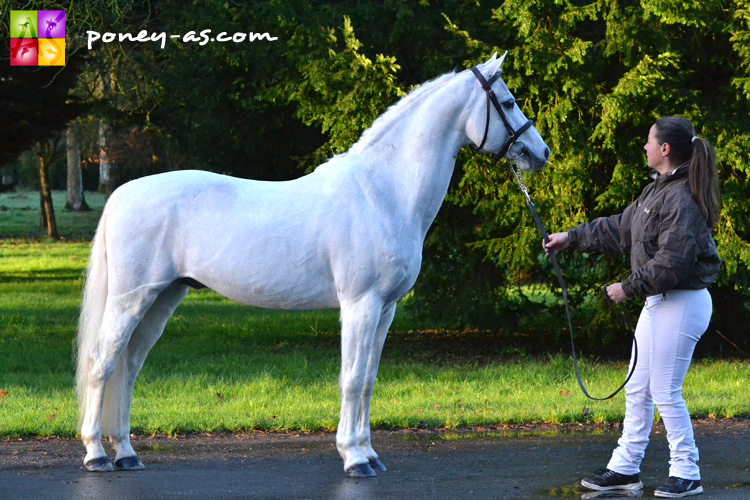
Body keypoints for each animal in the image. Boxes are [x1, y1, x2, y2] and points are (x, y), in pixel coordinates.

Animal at [76, 52, 548, 478]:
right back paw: (96, 454)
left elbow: (369, 381)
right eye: (508, 103)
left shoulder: (386, 309)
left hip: (163, 298)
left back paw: (126, 453)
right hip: (130, 299)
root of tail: (121, 194)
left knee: (128, 368)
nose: (540, 153)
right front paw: (354, 458)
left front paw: (370, 453)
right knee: (102, 363)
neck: (382, 193)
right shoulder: (360, 305)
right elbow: (352, 378)